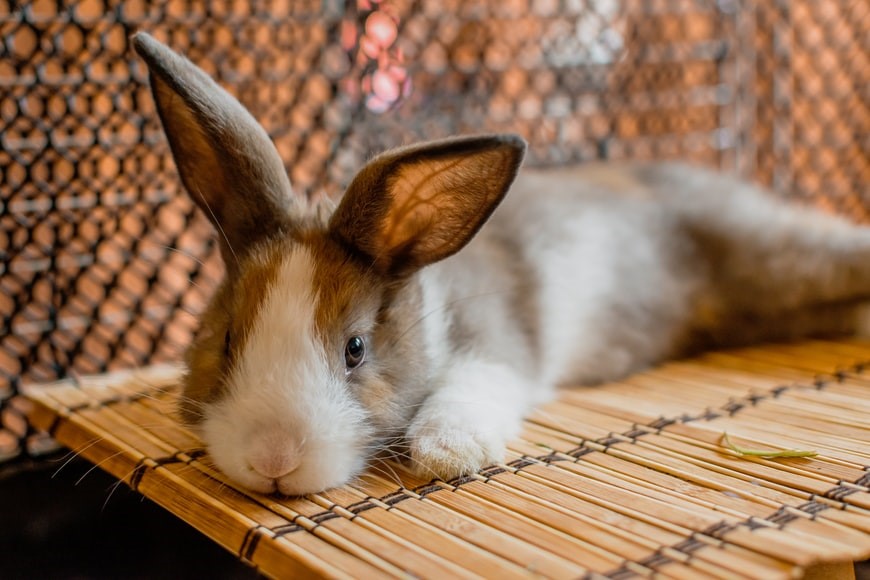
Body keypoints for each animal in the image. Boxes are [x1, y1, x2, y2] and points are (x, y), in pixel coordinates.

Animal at [132, 33, 870, 496]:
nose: (273, 460)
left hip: (778, 253)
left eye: (355, 350)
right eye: (227, 340)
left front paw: (448, 453)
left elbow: (475, 386)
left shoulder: (496, 341)